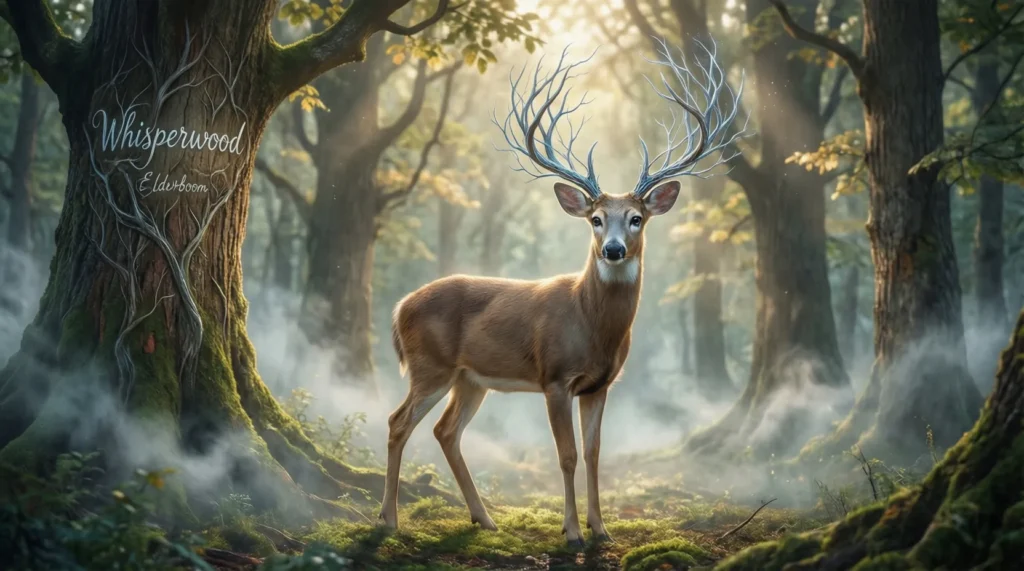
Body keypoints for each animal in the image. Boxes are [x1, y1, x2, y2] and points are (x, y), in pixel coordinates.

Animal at [379, 39, 745, 546]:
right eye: (596, 219)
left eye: (637, 218)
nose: (613, 249)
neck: (590, 324)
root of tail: (399, 308)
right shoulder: (554, 376)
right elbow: (567, 455)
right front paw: (571, 531)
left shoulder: (599, 384)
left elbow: (593, 454)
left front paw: (601, 528)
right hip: (430, 365)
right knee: (398, 423)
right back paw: (389, 520)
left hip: (470, 378)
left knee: (445, 431)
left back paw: (484, 518)